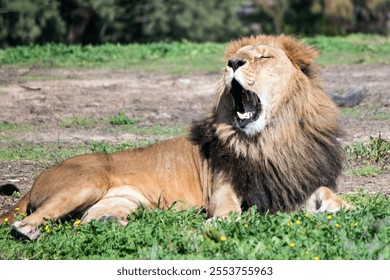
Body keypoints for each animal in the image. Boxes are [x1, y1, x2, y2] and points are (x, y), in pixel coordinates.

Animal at [0, 34, 354, 241]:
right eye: (236, 57)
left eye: (264, 57)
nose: (232, 63)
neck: (271, 139)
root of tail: (38, 177)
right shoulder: (222, 188)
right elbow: (229, 210)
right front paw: (218, 224)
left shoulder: (287, 184)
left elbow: (327, 192)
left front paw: (341, 207)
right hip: (85, 183)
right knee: (25, 223)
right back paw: (32, 233)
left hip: (124, 201)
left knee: (87, 221)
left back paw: (117, 225)